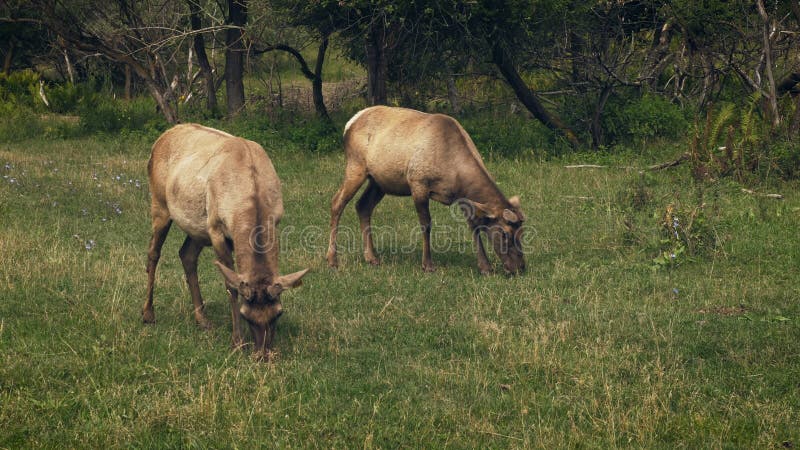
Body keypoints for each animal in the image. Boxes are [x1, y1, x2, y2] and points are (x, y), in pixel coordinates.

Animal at [142, 122, 308, 358]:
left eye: (278, 313)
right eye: (246, 314)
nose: (262, 355)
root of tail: (160, 139)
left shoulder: (275, 222)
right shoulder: (216, 229)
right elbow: (231, 287)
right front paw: (237, 342)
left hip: (199, 227)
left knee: (186, 254)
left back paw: (202, 319)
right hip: (160, 205)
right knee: (153, 252)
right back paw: (148, 313)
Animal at [324, 106, 524, 274]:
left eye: (522, 233)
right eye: (505, 233)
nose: (520, 267)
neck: (455, 172)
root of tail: (349, 124)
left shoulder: (462, 197)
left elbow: (474, 225)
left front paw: (485, 267)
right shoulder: (418, 183)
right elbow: (426, 224)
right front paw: (427, 264)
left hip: (379, 181)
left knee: (363, 206)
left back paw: (372, 257)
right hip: (355, 166)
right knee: (337, 202)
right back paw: (332, 259)